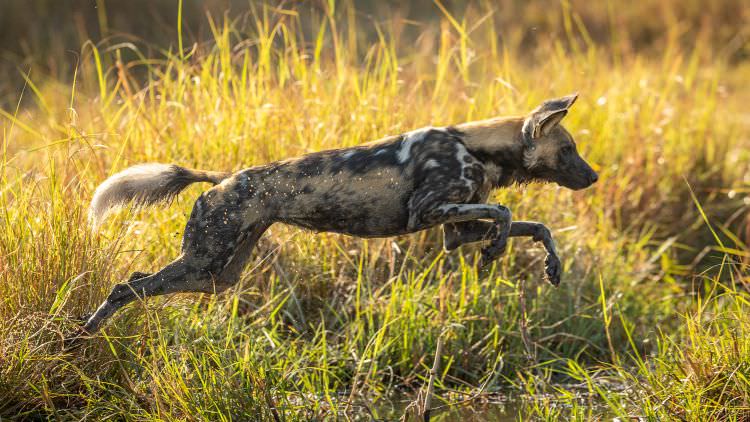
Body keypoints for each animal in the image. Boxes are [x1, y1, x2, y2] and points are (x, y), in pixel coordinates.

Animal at [70, 94, 600, 342]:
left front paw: (549, 265)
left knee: (140, 285)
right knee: (126, 286)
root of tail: (222, 178)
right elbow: (506, 212)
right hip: (205, 263)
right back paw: (83, 334)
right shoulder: (429, 212)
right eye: (569, 150)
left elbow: (534, 225)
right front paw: (497, 249)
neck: (477, 146)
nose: (594, 176)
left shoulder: (455, 229)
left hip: (216, 276)